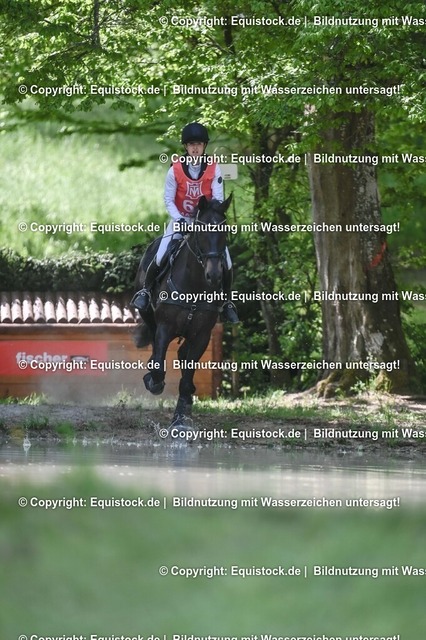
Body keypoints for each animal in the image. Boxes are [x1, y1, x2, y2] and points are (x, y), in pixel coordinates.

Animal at [132, 194, 233, 429]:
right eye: (201, 232)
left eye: (224, 233)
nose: (214, 276)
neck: (194, 285)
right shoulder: (165, 328)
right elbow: (159, 367)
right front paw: (153, 381)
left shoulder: (202, 335)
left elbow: (187, 377)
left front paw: (180, 418)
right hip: (149, 315)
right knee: (155, 344)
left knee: (182, 355)